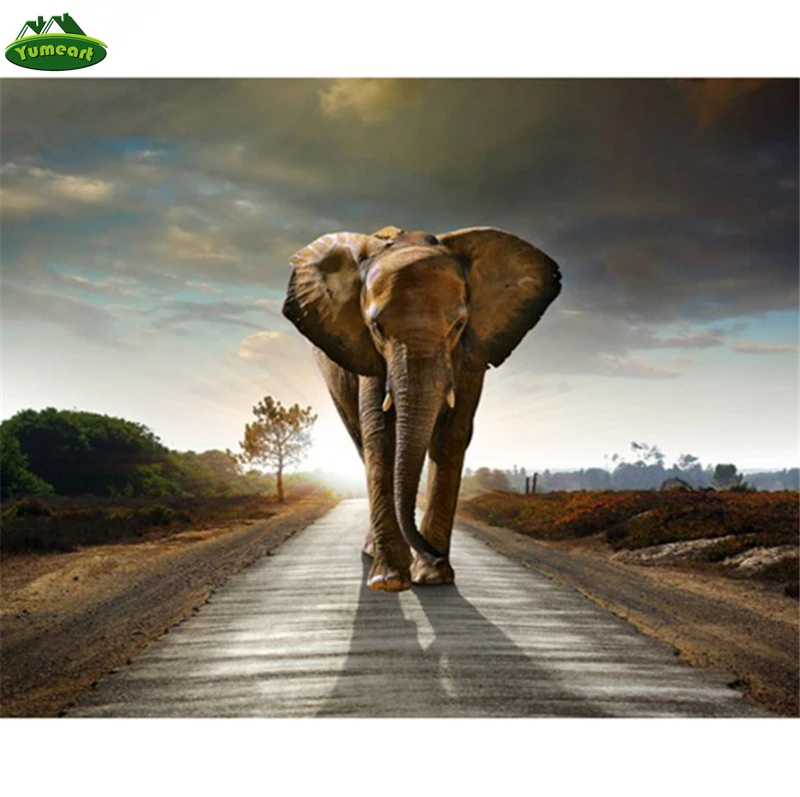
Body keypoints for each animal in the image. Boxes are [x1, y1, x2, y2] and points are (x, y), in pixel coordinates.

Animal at [282, 225, 561, 592]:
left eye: (458, 325)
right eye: (376, 327)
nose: (435, 555)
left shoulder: (471, 353)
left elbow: (451, 437)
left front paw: (433, 577)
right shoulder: (368, 354)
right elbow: (380, 435)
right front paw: (389, 580)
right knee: (361, 442)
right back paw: (374, 554)